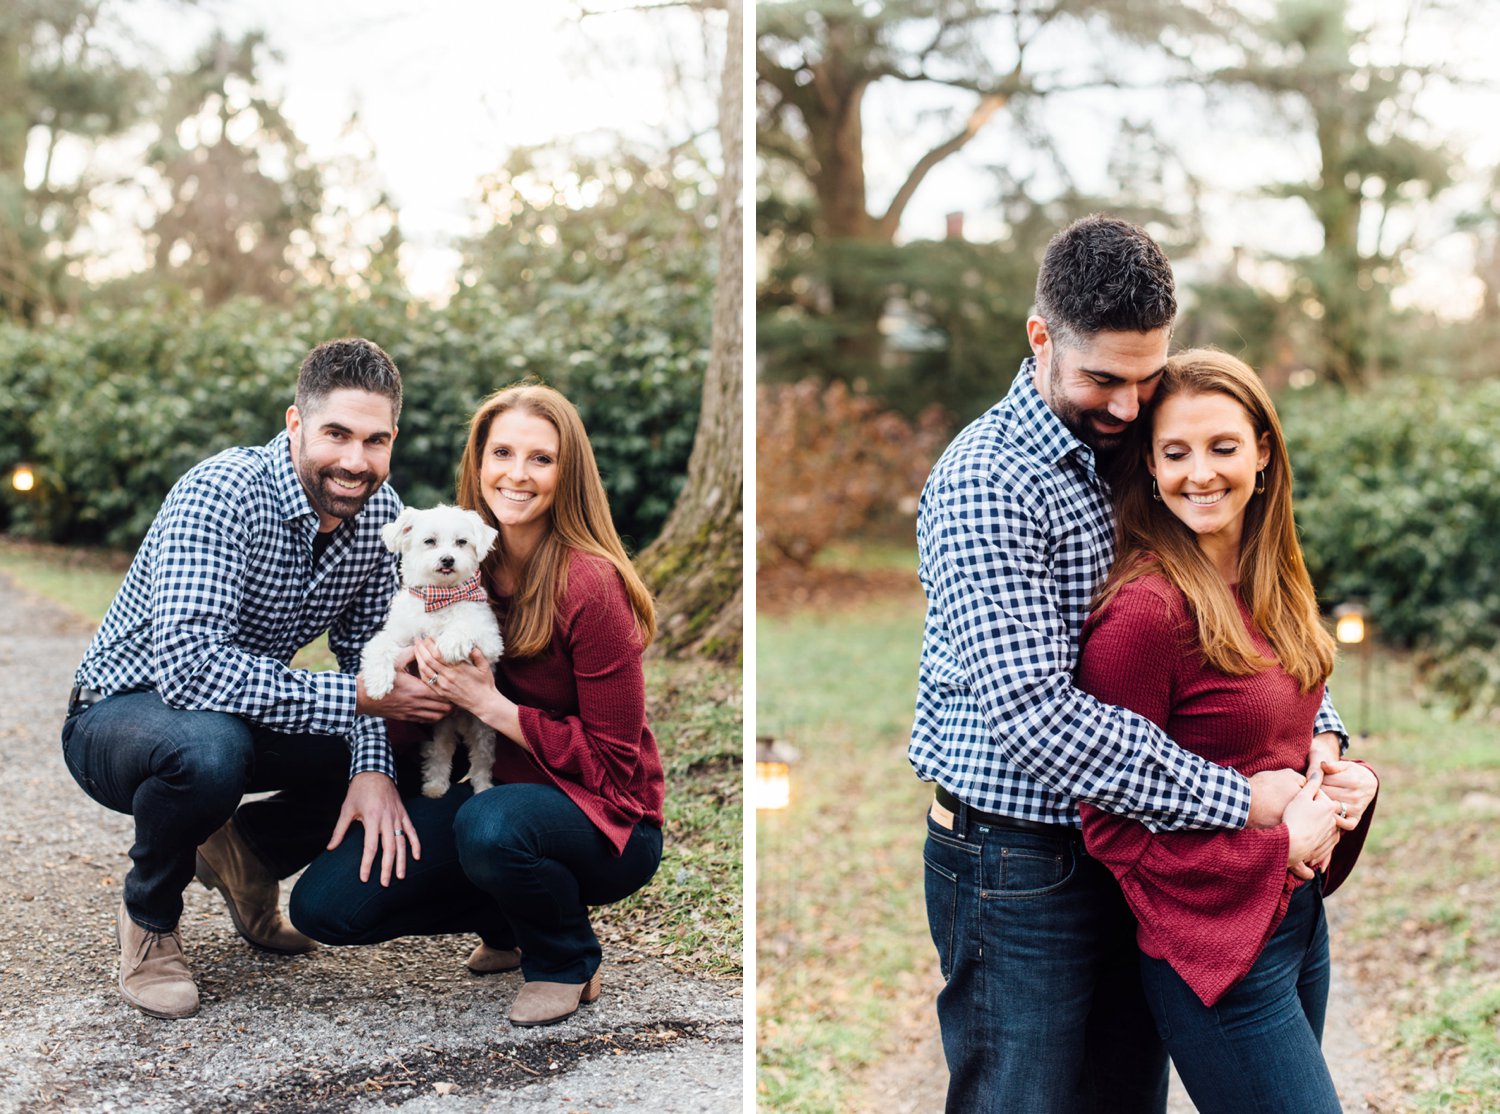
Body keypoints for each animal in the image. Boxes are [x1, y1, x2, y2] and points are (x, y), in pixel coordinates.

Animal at [364, 500, 507, 797]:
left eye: (461, 542)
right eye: (429, 541)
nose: (448, 559)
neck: (440, 597)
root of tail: (458, 720)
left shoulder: (490, 639)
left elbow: (465, 625)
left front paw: (451, 643)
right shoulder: (398, 637)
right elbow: (378, 647)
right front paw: (377, 682)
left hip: (483, 728)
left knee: (481, 759)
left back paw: (483, 788)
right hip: (439, 728)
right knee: (440, 753)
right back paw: (435, 786)